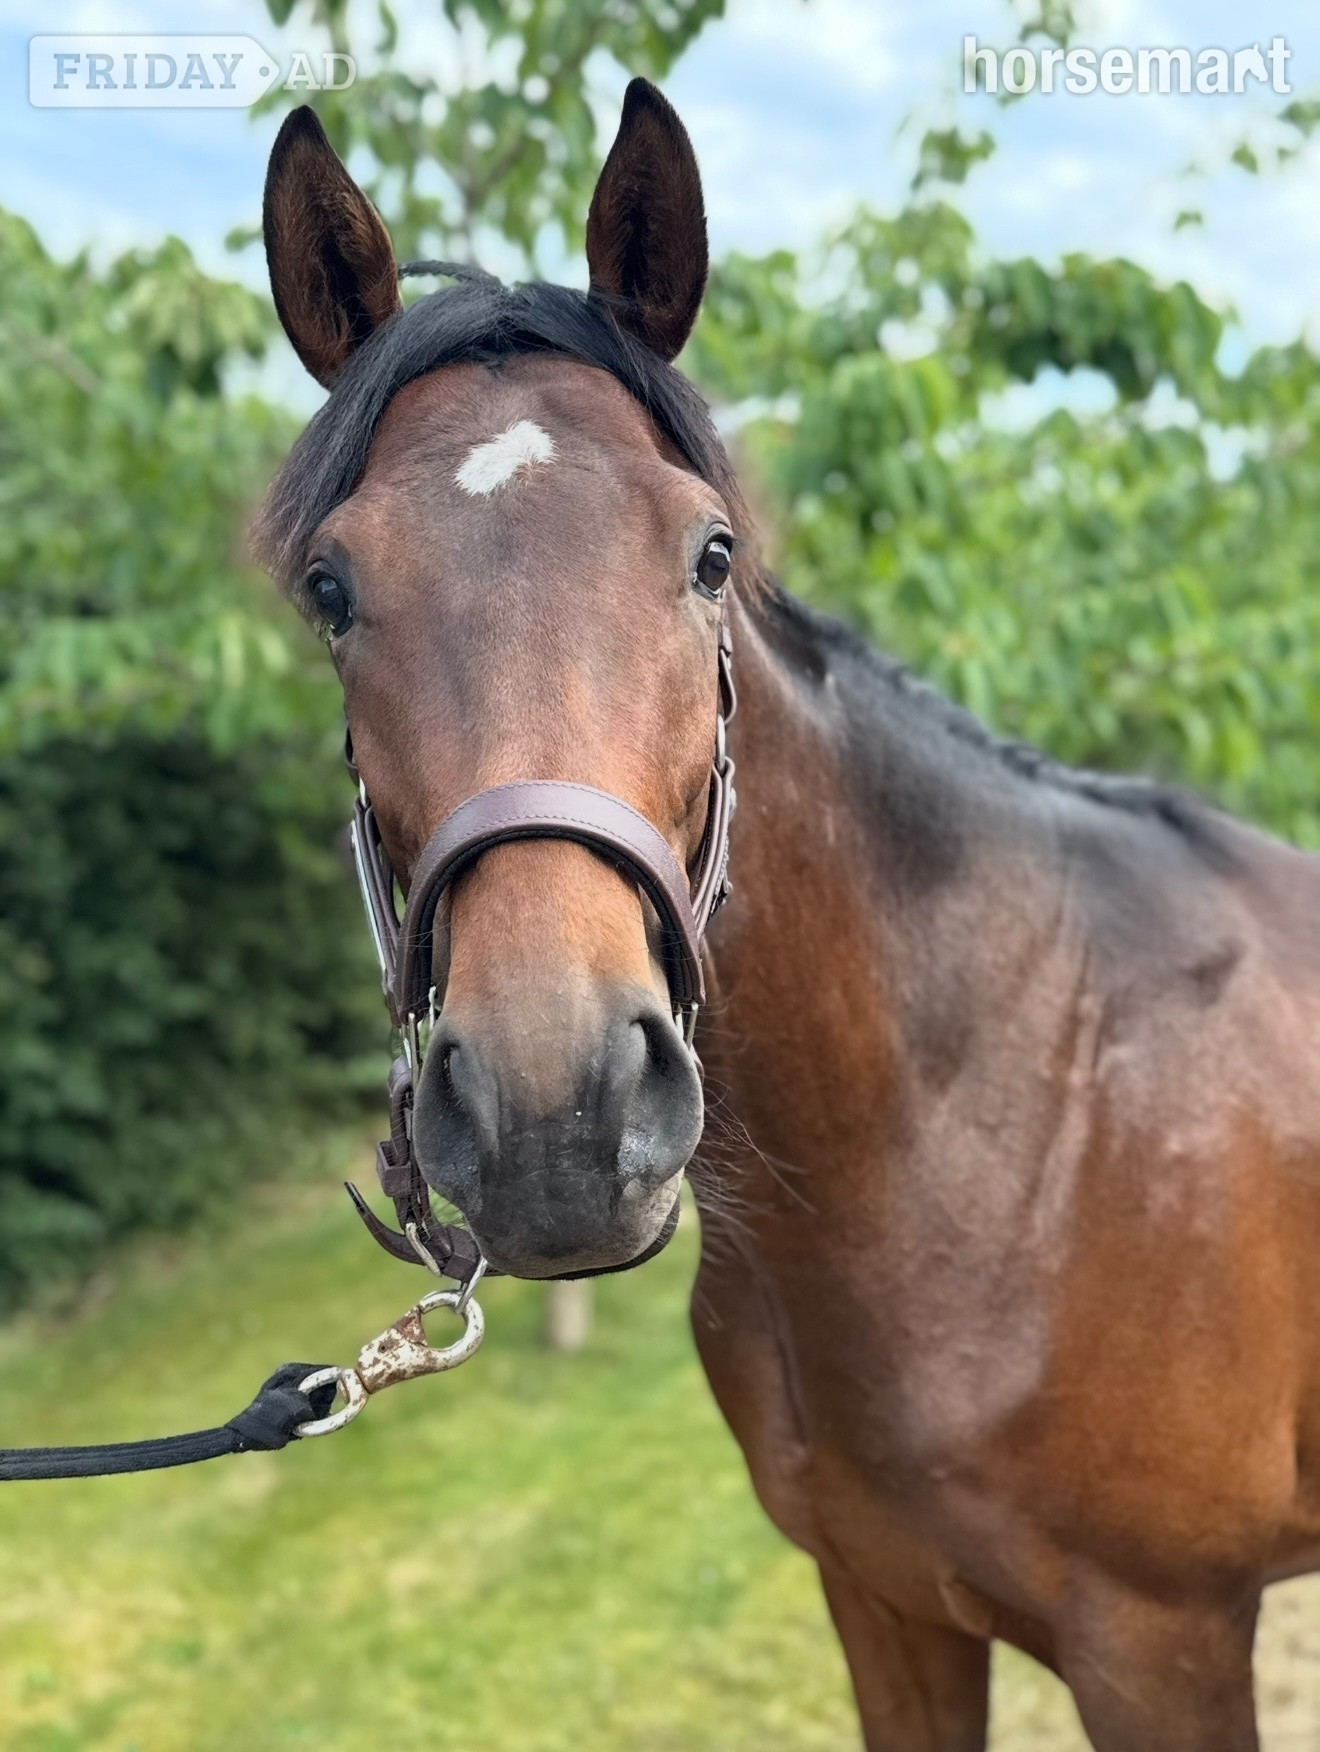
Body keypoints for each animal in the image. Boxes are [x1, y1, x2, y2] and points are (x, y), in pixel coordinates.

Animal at [254, 79, 1320, 1752]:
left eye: (710, 552)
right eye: (329, 588)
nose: (558, 1120)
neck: (1007, 1132)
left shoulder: (1169, 1648)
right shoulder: (880, 1604)